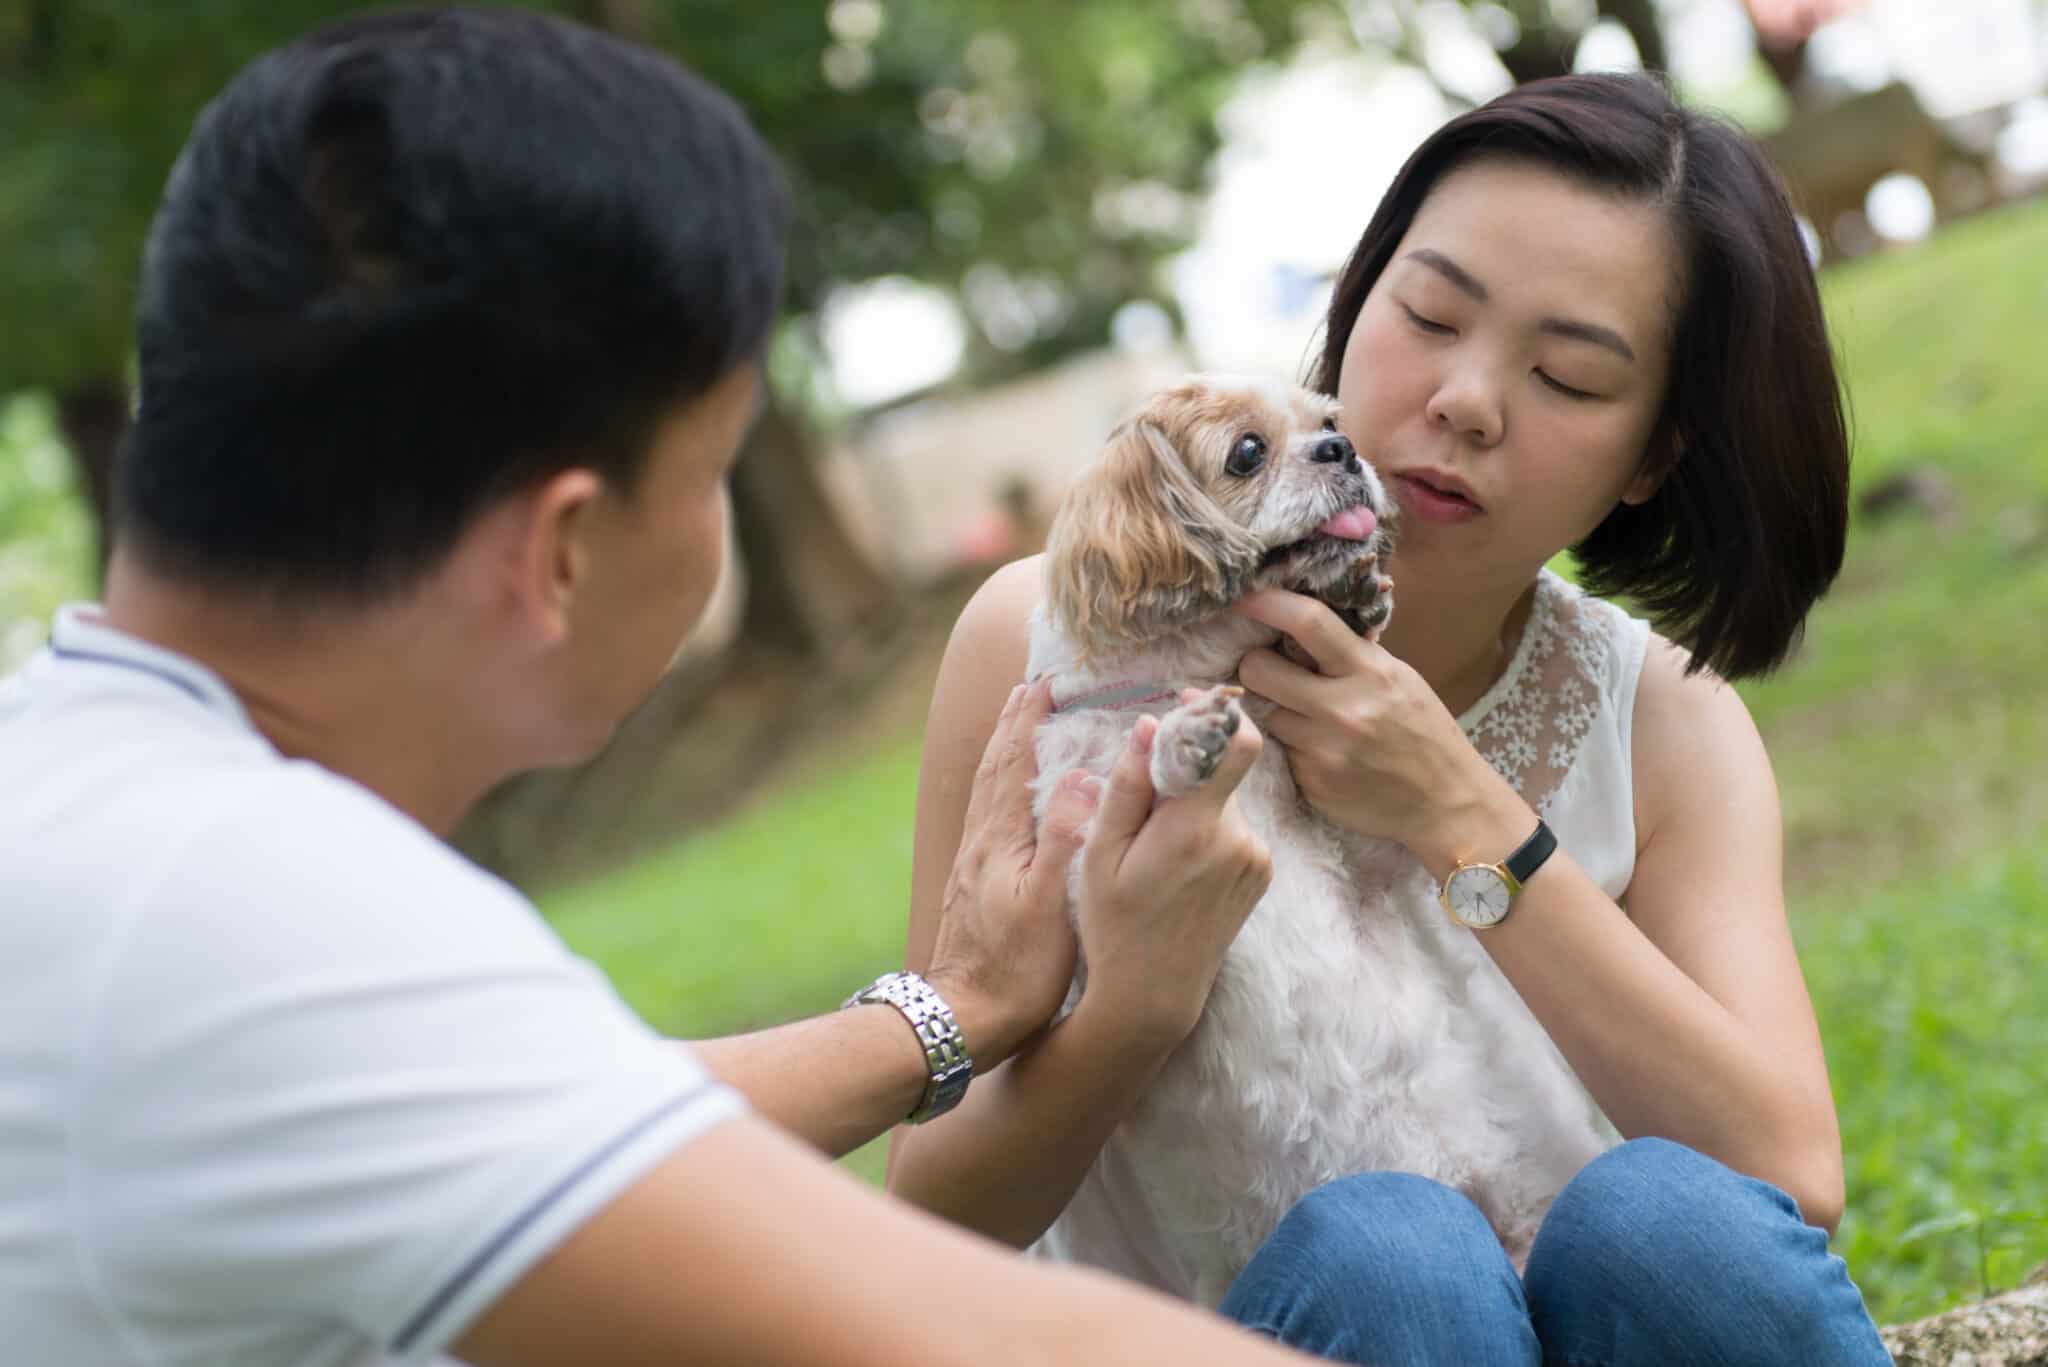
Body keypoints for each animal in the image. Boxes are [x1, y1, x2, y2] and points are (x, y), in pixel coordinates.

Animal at [1024, 370, 1613, 1303]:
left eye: (1330, 423)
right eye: (1247, 452)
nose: (1345, 451)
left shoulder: (1369, 867)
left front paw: (1357, 610)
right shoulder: (1093, 893)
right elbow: (1144, 780)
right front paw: (1185, 743)